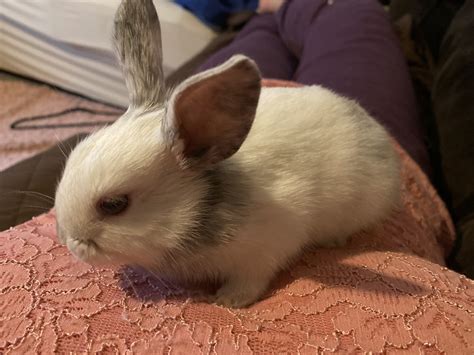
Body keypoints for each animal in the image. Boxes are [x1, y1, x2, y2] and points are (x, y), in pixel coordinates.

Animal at [55, 0, 400, 308]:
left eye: (114, 205)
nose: (69, 242)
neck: (203, 205)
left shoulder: (267, 247)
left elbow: (251, 280)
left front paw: (228, 301)